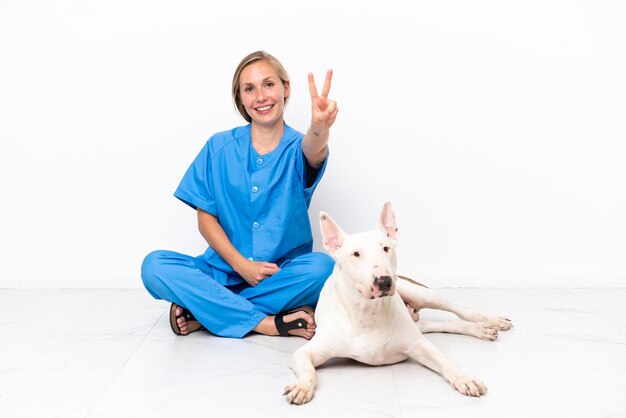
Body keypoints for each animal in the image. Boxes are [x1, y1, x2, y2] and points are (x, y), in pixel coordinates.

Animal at [284, 202, 512, 404]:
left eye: (386, 248)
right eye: (356, 254)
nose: (384, 281)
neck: (367, 312)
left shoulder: (418, 344)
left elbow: (444, 360)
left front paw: (464, 378)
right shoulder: (306, 352)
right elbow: (309, 370)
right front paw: (302, 387)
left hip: (418, 293)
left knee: (458, 309)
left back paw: (489, 322)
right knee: (443, 323)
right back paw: (481, 329)